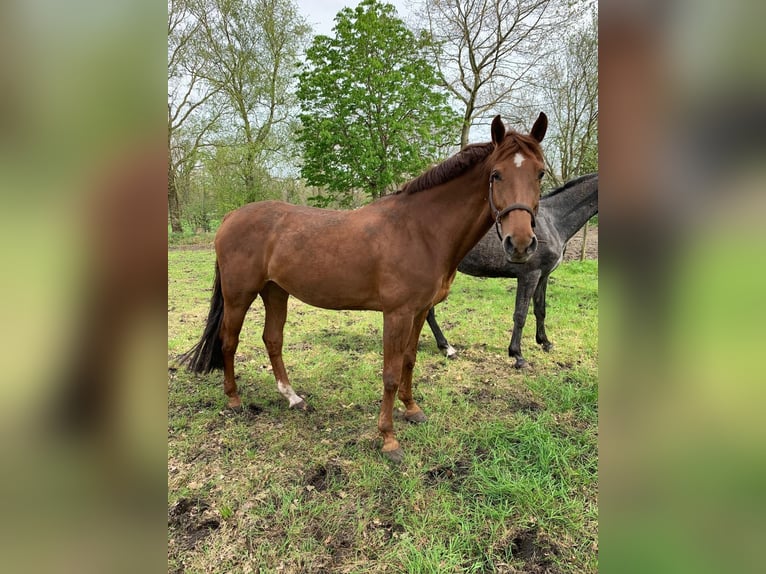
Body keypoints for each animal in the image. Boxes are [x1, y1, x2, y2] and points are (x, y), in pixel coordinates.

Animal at [180, 113, 548, 463]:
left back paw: (293, 398)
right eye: (496, 174)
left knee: (272, 339)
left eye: (540, 173)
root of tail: (230, 218)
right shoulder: (397, 314)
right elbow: (390, 373)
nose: (520, 243)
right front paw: (389, 439)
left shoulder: (420, 312)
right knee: (229, 341)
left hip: (275, 291)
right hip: (239, 294)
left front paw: (412, 410)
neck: (421, 230)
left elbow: (409, 361)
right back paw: (233, 400)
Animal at [426, 173, 598, 368]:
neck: (553, 221)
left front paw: (545, 343)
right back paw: (447, 348)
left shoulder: (543, 276)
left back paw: (445, 347)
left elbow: (540, 310)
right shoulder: (529, 275)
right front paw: (518, 356)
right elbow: (520, 314)